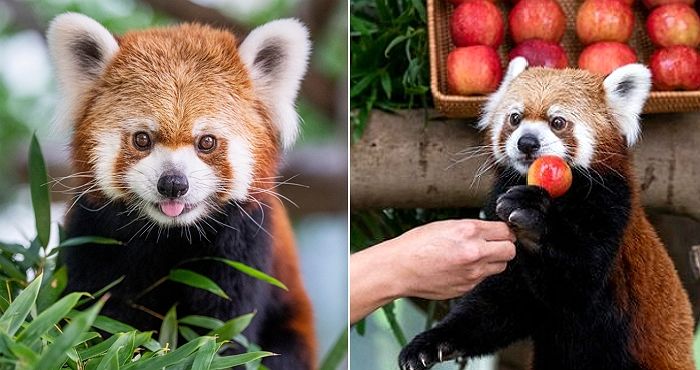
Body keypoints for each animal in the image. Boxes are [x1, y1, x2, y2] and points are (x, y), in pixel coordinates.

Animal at [50, 13, 318, 368]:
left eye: (206, 142)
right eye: (142, 139)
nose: (173, 184)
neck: (170, 234)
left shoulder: (242, 244)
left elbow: (224, 327)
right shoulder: (95, 235)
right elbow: (101, 315)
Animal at [400, 57, 696, 370]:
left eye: (557, 122)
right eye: (515, 118)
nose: (527, 142)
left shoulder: (611, 206)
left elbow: (579, 281)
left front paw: (532, 219)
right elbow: (501, 301)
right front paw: (431, 344)